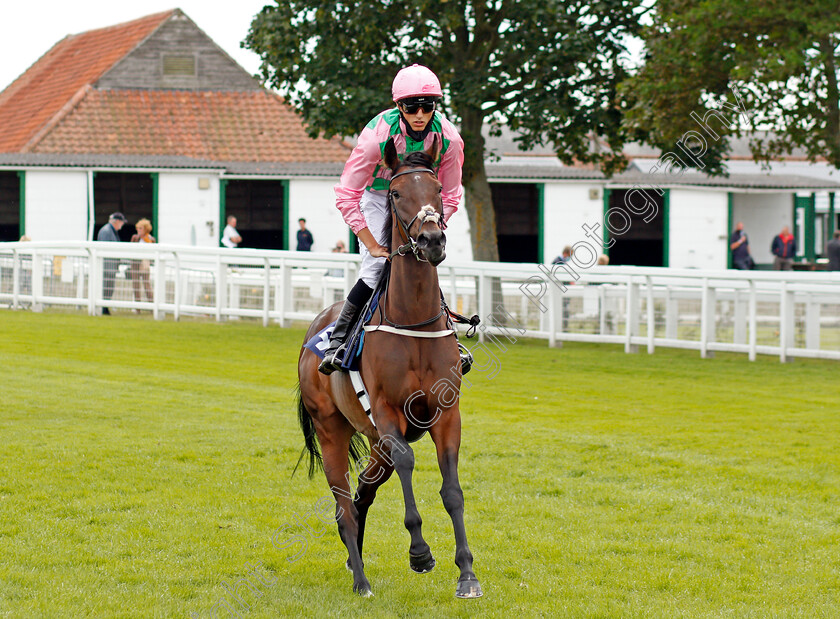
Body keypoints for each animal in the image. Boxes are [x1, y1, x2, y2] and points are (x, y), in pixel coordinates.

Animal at [296, 137, 482, 600]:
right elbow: (408, 463)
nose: (432, 239)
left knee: (362, 491)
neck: (413, 321)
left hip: (372, 440)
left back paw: (354, 560)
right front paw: (420, 553)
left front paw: (467, 574)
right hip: (333, 430)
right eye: (396, 193)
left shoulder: (446, 413)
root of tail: (315, 326)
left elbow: (453, 491)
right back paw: (361, 580)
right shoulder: (387, 413)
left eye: (438, 189)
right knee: (344, 502)